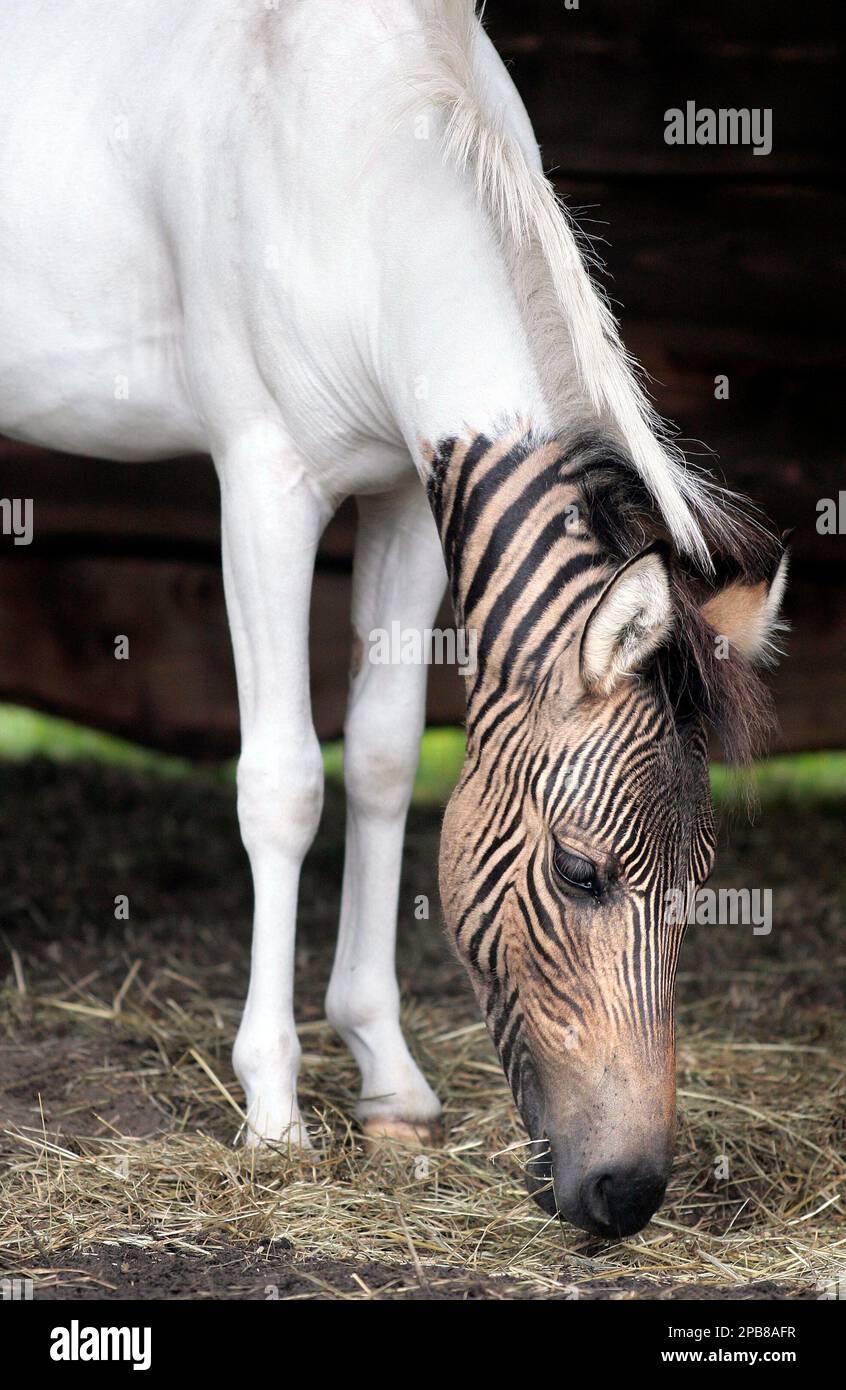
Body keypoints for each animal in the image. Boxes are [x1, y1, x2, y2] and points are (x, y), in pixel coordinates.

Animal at [0, 1, 788, 1236]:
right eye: (580, 875)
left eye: (702, 884)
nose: (627, 1198)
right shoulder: (264, 483)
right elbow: (284, 786)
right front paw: (275, 1106)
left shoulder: (410, 500)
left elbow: (376, 762)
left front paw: (387, 1074)